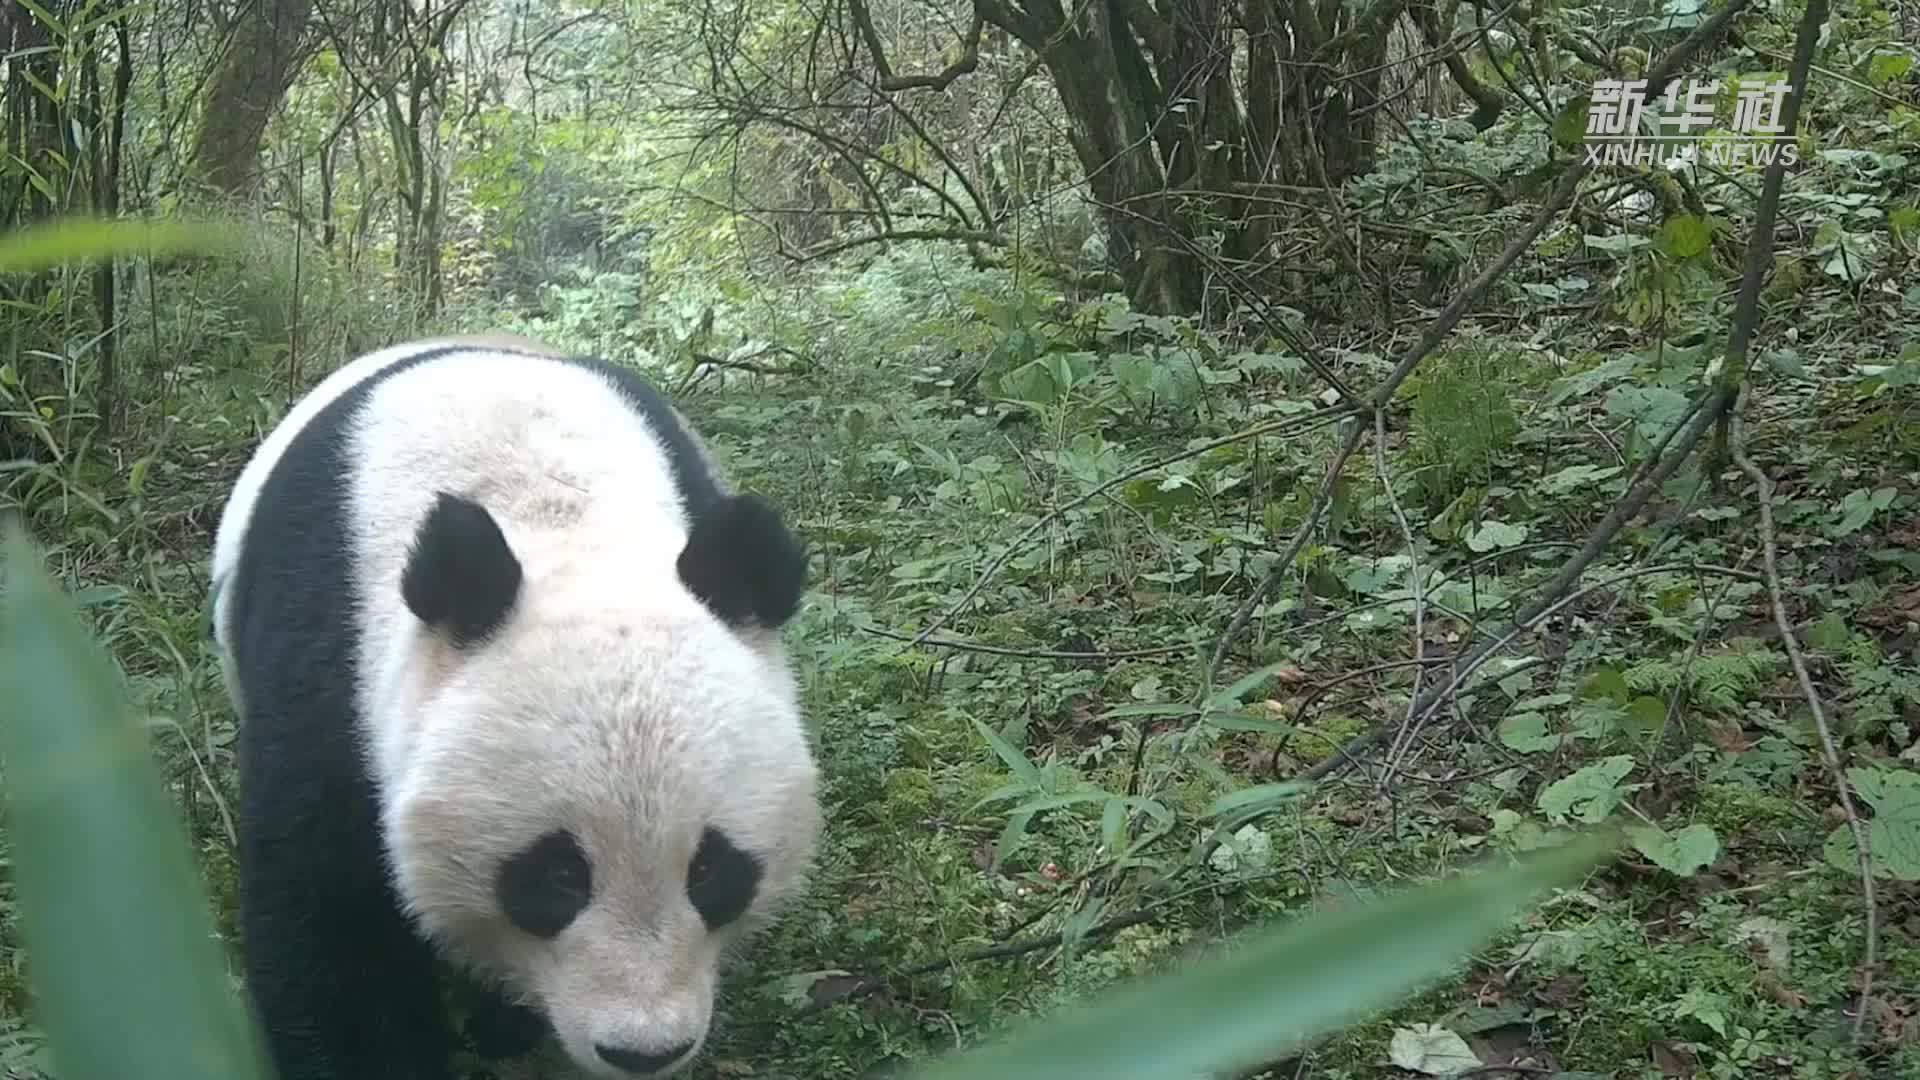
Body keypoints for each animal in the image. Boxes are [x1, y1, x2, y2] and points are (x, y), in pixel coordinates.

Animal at [212, 332, 825, 1068]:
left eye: (710, 869)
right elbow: (335, 935)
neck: (559, 520)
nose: (643, 1052)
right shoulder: (332, 676)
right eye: (557, 875)